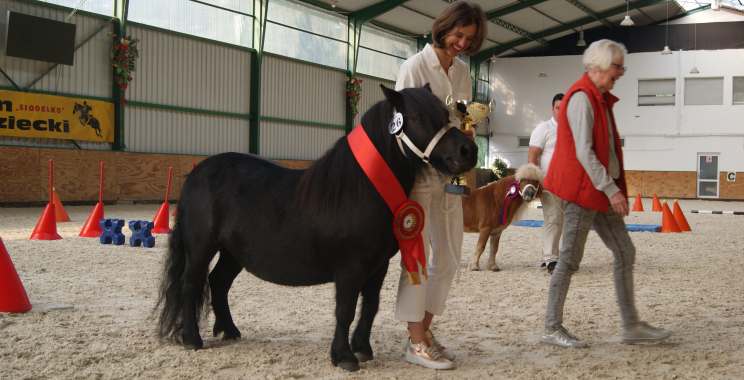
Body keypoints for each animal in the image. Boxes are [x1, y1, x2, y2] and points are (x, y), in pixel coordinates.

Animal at [155, 85, 476, 372]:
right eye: (419, 117)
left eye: (445, 114)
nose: (468, 150)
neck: (360, 188)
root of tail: (196, 173)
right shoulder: (350, 268)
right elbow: (345, 310)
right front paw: (343, 356)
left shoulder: (378, 265)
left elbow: (370, 305)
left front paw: (362, 348)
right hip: (200, 247)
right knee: (190, 284)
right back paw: (192, 339)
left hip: (233, 253)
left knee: (218, 282)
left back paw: (230, 330)